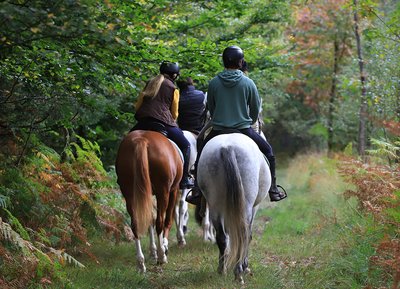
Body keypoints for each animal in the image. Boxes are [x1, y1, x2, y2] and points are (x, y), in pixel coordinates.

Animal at [115, 129, 183, 272]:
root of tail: (142, 140)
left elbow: (149, 219)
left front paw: (153, 252)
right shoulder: (173, 190)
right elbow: (167, 220)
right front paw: (163, 248)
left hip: (129, 192)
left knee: (136, 224)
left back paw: (141, 263)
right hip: (164, 192)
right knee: (160, 222)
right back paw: (162, 256)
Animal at [198, 132, 272, 282]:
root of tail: (227, 147)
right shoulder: (254, 208)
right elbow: (249, 234)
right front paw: (245, 266)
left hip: (214, 203)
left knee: (222, 237)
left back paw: (222, 270)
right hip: (246, 205)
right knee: (243, 234)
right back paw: (239, 272)